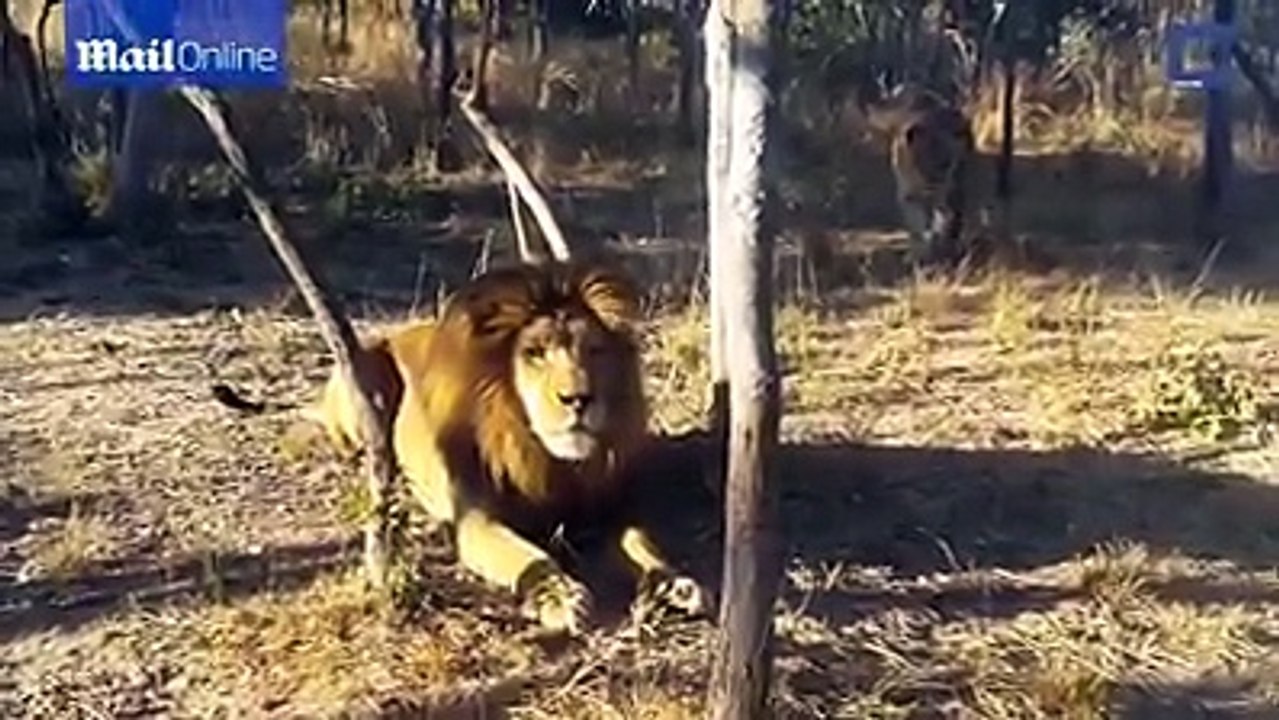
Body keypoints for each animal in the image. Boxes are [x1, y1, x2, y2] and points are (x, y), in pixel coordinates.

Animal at [311, 260, 710, 634]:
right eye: (535, 353)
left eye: (594, 351)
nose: (578, 399)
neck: (549, 461)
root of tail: (395, 334)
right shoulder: (474, 519)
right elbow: (529, 557)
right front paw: (560, 598)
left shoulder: (609, 510)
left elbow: (642, 542)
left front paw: (674, 582)